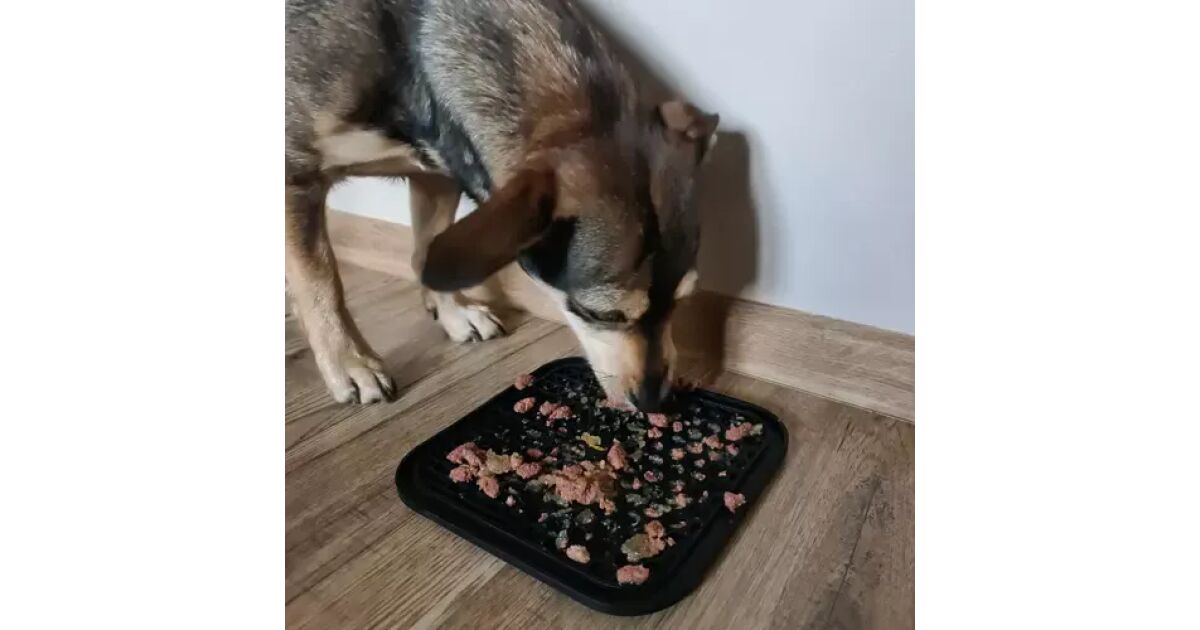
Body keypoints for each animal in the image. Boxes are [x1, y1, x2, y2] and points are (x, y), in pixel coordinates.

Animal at [286, 0, 718, 410]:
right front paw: (350, 363)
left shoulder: (438, 173)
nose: (654, 401)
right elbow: (323, 282)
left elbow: (429, 252)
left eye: (681, 301)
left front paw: (454, 314)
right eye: (599, 314)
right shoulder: (295, 178)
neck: (411, 45)